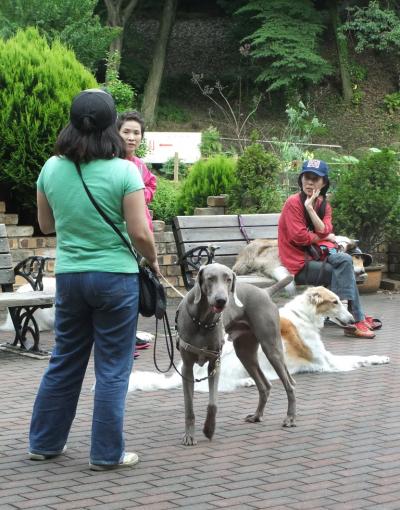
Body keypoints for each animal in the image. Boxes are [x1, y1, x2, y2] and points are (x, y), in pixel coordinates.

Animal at [177, 262, 296, 446]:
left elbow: (213, 404)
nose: (221, 300)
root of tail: (265, 291)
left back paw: (290, 418)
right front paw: (189, 435)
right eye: (210, 278)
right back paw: (257, 416)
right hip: (245, 353)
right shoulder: (187, 368)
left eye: (228, 279)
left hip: (271, 347)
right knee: (265, 385)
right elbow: (189, 407)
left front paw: (209, 429)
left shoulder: (214, 364)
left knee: (289, 385)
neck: (202, 321)